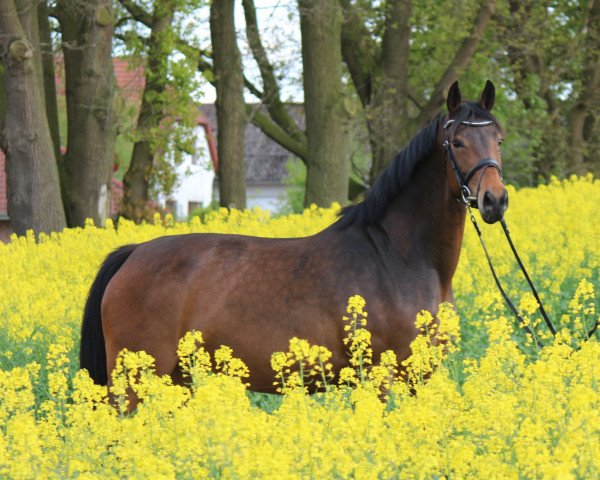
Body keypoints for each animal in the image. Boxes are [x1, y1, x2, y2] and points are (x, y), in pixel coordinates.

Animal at [82, 80, 508, 400]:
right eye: (457, 143)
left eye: (498, 139)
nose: (495, 200)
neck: (399, 257)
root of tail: (133, 254)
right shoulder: (380, 378)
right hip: (135, 381)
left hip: (176, 379)